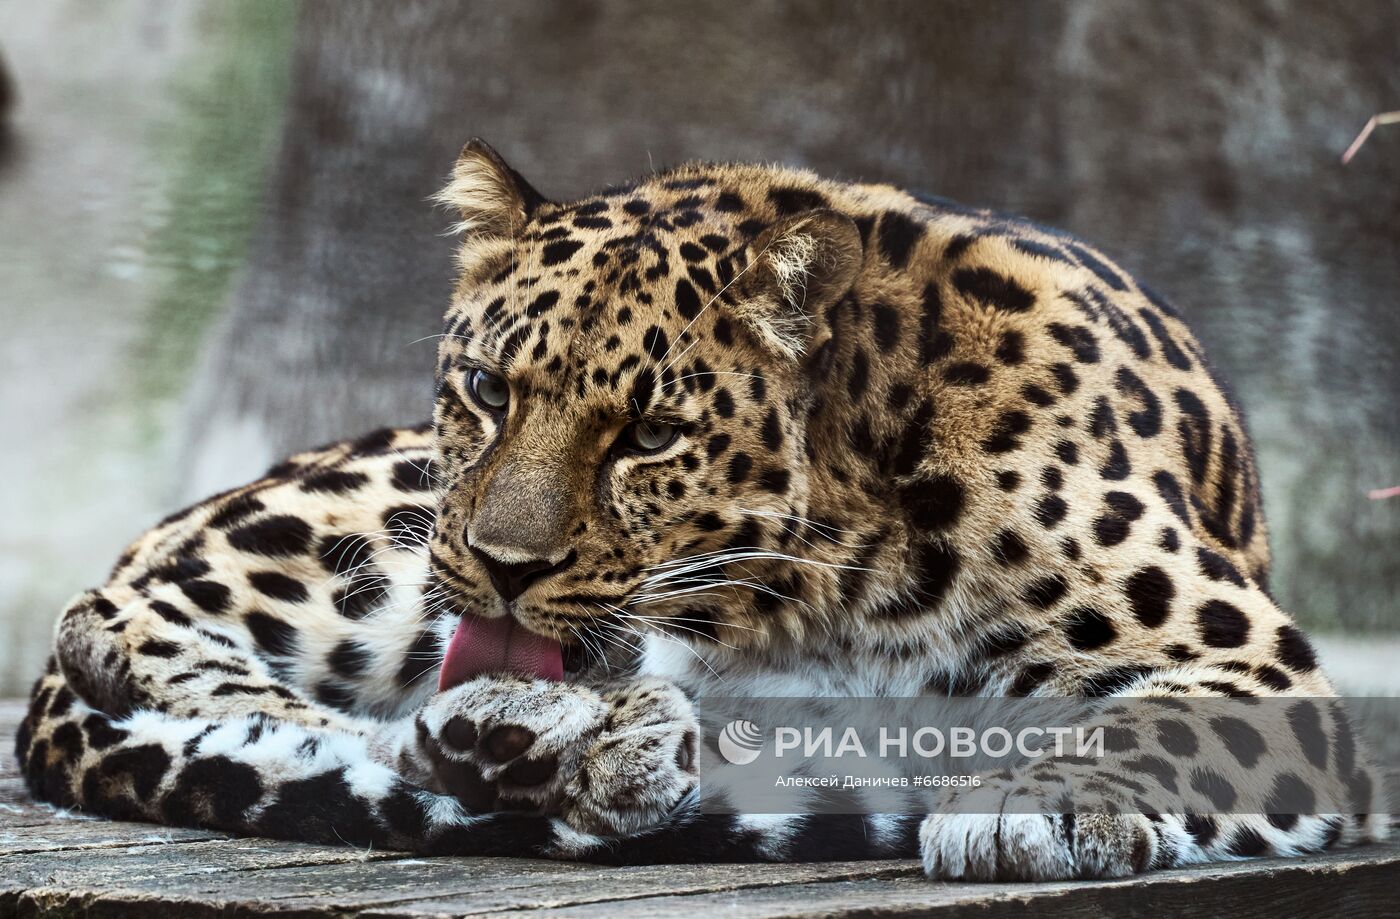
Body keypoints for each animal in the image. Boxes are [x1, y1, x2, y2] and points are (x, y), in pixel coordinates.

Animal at [16, 140, 1383, 879]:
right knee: (121, 620)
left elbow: (1129, 723)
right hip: (373, 530)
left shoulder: (1252, 672)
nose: (505, 565)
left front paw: (1020, 802)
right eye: (486, 388)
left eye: (649, 434)